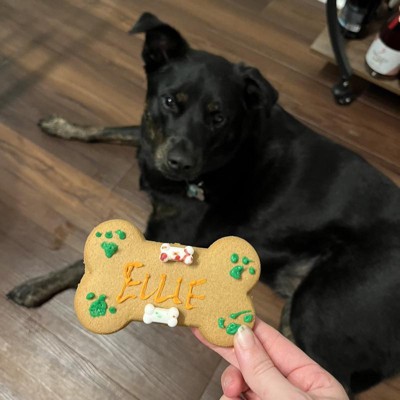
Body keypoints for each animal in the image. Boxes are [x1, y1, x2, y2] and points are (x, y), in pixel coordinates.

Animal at [7, 11, 398, 394]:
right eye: (169, 101)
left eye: (218, 117)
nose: (180, 163)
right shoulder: (150, 142)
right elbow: (111, 129)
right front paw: (62, 125)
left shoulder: (167, 234)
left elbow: (81, 264)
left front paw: (37, 285)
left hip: (316, 310)